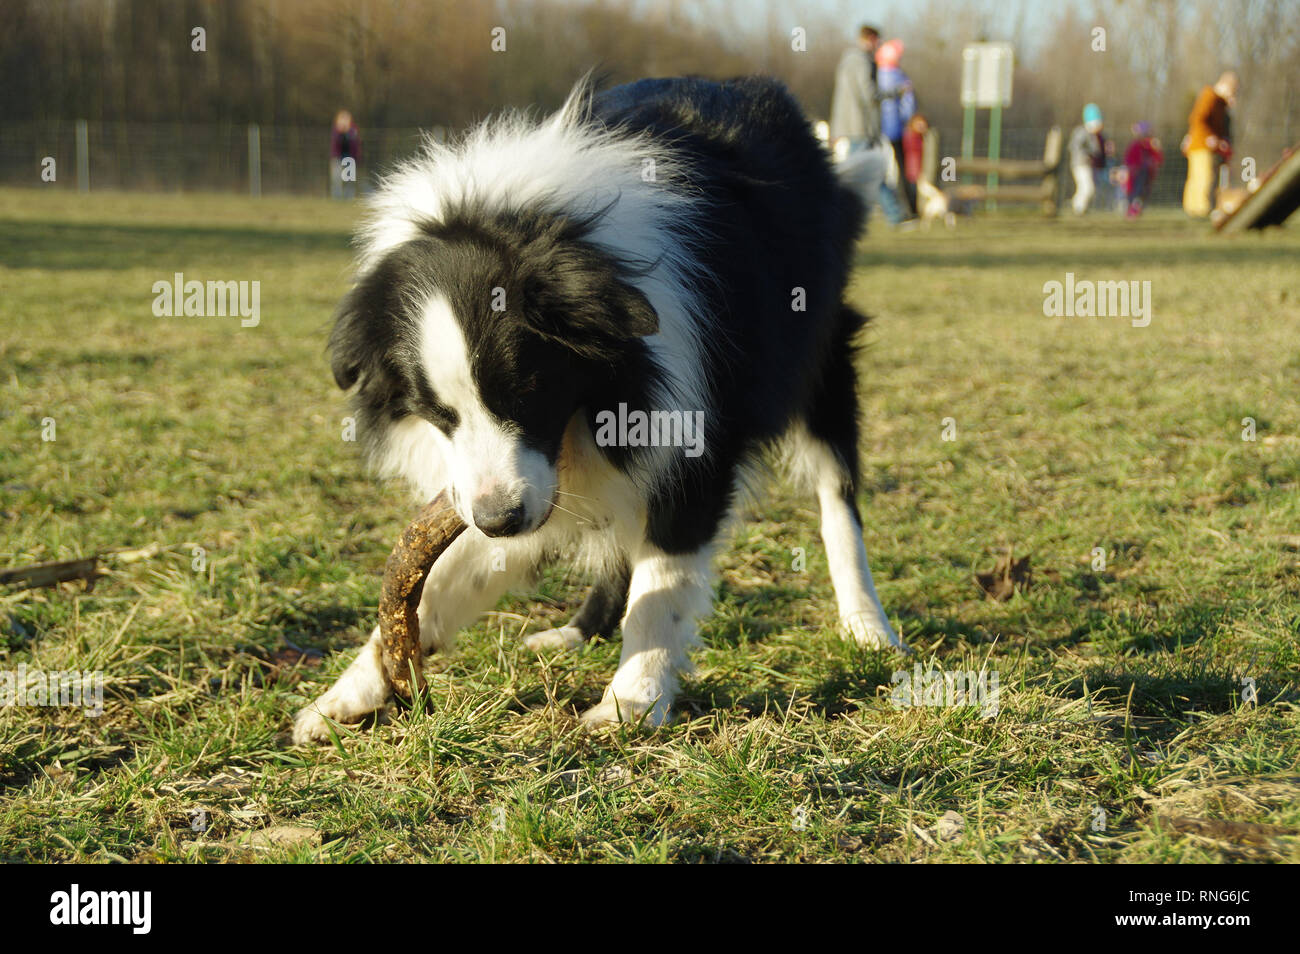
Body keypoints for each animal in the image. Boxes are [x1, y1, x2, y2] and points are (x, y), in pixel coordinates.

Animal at [295, 76, 904, 748]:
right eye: (436, 412)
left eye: (526, 391)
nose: (499, 520)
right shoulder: (515, 479)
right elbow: (447, 574)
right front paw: (341, 697)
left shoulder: (692, 415)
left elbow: (663, 576)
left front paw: (628, 705)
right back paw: (572, 633)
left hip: (818, 356)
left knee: (835, 494)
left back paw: (868, 627)